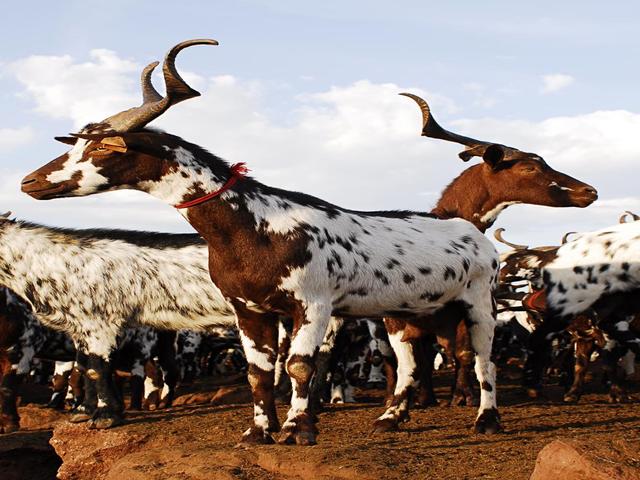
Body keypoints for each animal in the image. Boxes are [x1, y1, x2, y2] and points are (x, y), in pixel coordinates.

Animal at [22, 39, 501, 445]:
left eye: (102, 149)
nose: (30, 181)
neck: (254, 228)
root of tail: (475, 234)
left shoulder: (313, 305)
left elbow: (299, 365)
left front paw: (297, 429)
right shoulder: (249, 310)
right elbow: (258, 372)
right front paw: (258, 432)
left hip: (479, 303)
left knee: (483, 358)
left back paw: (487, 419)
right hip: (407, 312)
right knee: (413, 362)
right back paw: (392, 417)